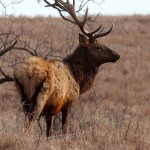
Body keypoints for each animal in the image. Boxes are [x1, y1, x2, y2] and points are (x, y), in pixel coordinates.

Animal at [14, 0, 119, 137]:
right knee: (30, 122)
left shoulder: (51, 110)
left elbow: (49, 133)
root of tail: (28, 73)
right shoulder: (68, 103)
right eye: (98, 46)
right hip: (40, 96)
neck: (78, 79)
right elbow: (65, 129)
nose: (117, 55)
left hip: (23, 98)